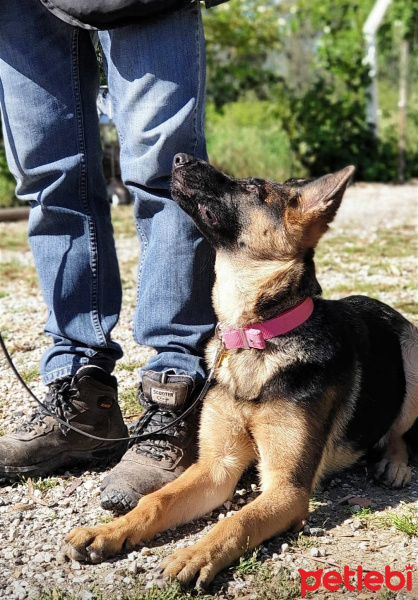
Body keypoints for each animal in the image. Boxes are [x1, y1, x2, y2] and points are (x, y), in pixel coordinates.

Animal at [63, 154, 418, 584]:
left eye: (252, 188)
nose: (179, 157)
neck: (254, 336)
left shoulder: (287, 488)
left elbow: (237, 521)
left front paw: (194, 554)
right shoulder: (217, 466)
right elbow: (157, 501)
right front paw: (108, 530)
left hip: (413, 356)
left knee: (398, 432)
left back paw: (394, 464)